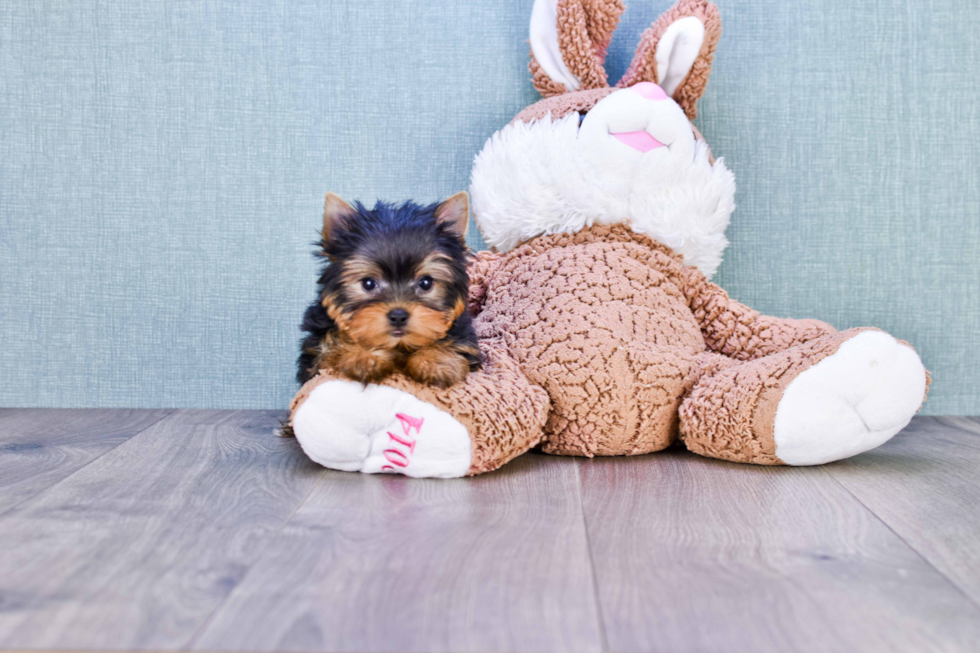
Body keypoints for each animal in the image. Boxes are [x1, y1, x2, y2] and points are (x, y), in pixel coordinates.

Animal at [296, 191, 484, 390]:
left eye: (425, 283)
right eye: (368, 283)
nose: (398, 316)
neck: (399, 345)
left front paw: (436, 359)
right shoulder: (316, 356)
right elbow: (332, 348)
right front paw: (365, 355)